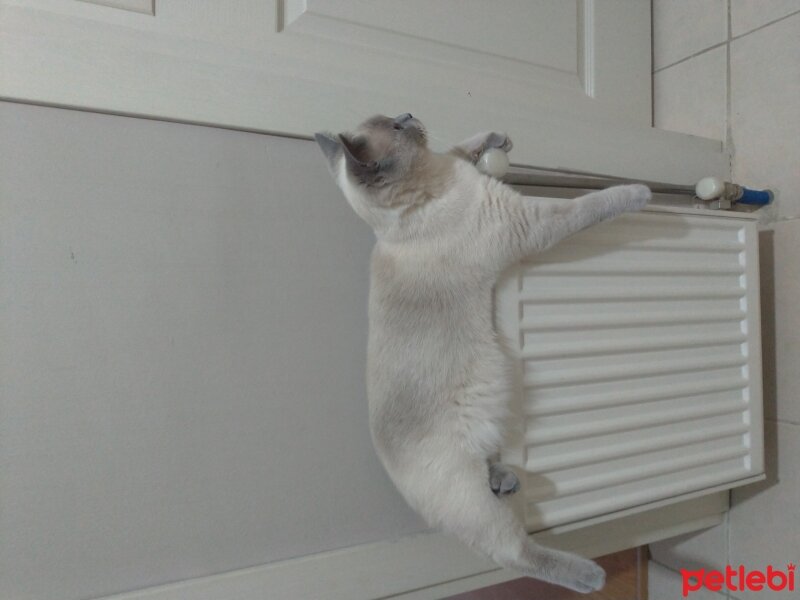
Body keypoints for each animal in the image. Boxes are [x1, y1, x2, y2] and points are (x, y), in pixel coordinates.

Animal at [312, 115, 648, 592]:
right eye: (395, 127)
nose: (410, 115)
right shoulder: (529, 221)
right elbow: (591, 204)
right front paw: (639, 191)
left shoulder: (456, 161)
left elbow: (463, 144)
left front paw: (498, 139)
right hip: (472, 503)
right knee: (512, 553)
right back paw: (589, 576)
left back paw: (505, 479)